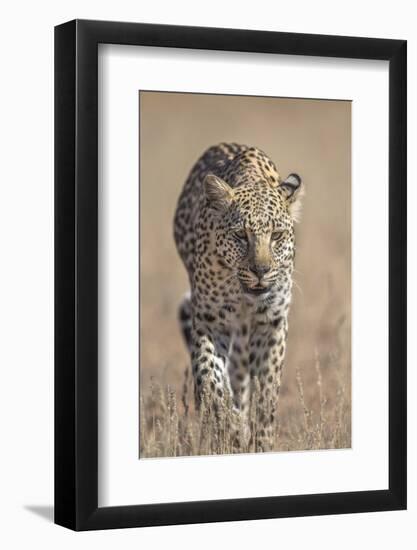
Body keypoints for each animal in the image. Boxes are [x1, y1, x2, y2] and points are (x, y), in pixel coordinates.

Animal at [172, 143, 302, 452]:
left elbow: (266, 393)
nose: (261, 271)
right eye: (241, 235)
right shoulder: (209, 322)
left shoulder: (272, 323)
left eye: (277, 235)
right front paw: (232, 428)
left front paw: (261, 441)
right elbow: (211, 381)